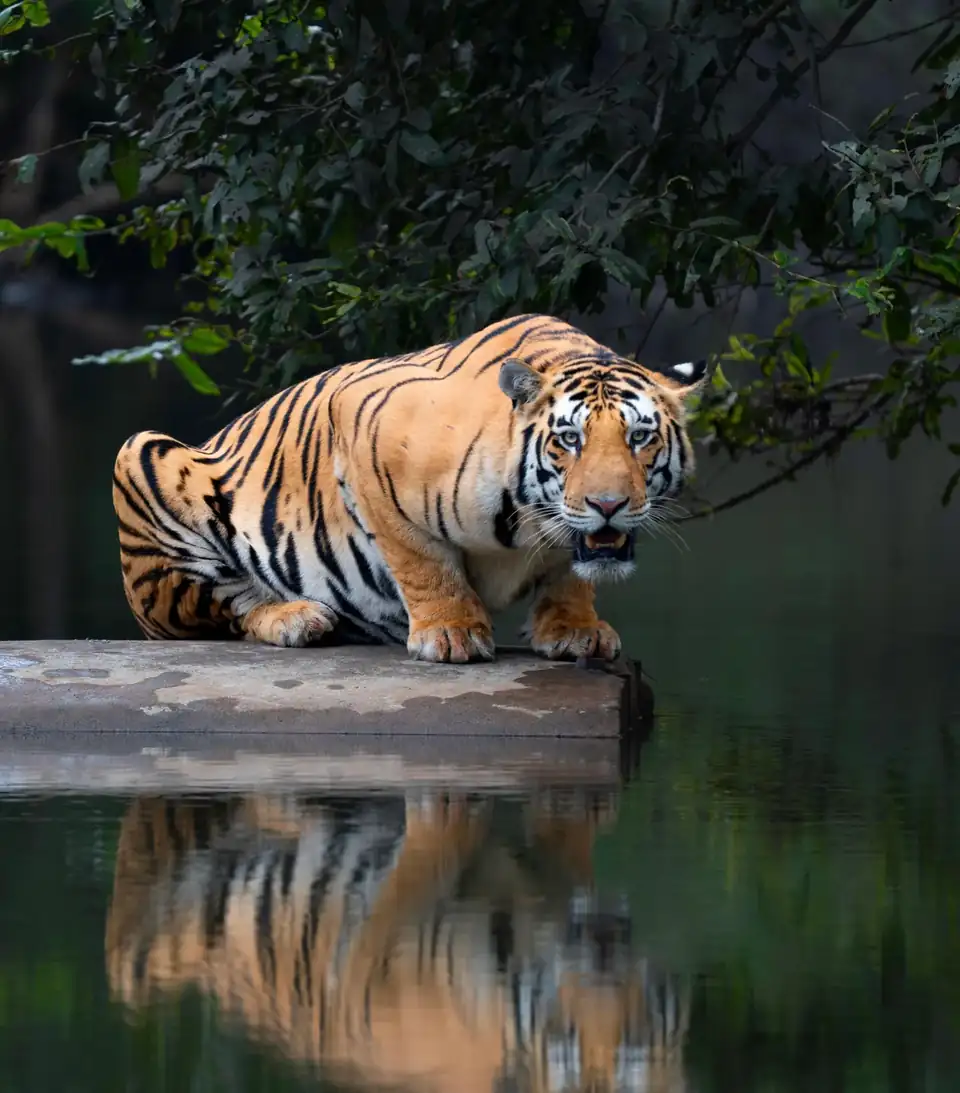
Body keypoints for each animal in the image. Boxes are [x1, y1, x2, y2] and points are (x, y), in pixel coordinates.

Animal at [113, 313, 706, 663]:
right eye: (569, 439)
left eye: (639, 437)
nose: (608, 505)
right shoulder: (360, 424)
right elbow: (421, 560)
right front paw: (451, 634)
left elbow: (569, 570)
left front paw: (576, 628)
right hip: (141, 459)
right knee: (224, 605)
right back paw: (297, 617)